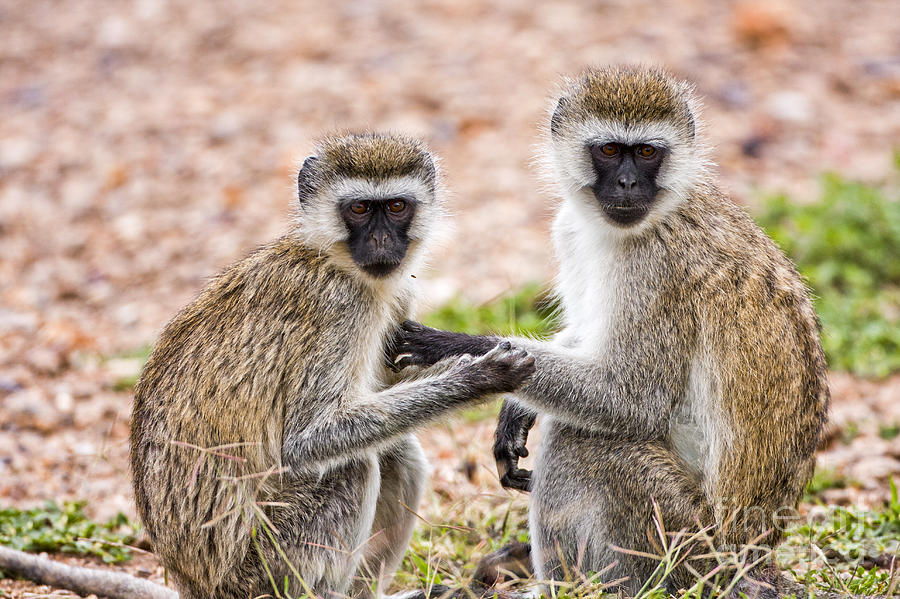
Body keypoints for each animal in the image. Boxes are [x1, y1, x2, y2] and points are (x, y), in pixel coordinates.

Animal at [0, 132, 536, 599]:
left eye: (397, 206)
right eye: (360, 208)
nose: (383, 244)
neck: (335, 260)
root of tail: (198, 586)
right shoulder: (336, 306)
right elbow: (306, 438)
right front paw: (479, 377)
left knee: (394, 451)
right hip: (261, 564)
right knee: (354, 465)